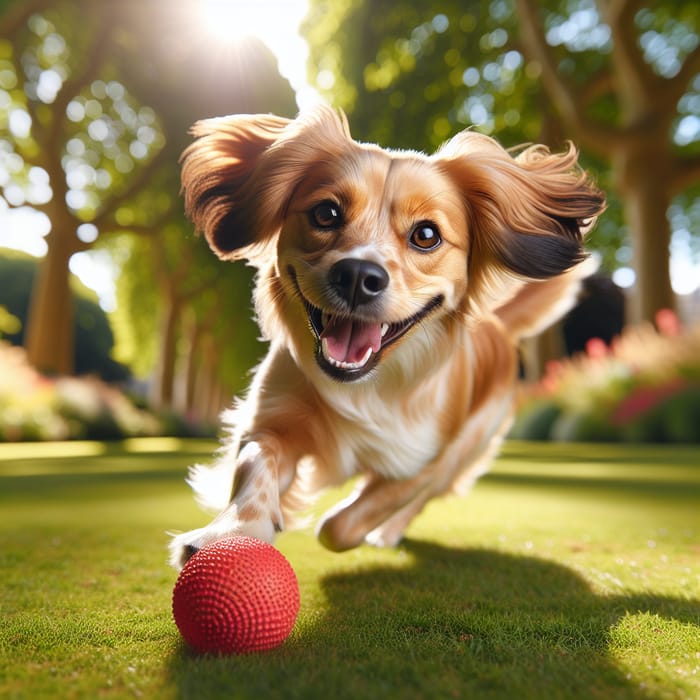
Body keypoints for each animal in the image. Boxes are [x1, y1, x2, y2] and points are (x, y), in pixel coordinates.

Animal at [168, 105, 600, 568]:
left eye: (426, 235)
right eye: (326, 213)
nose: (358, 275)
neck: (367, 385)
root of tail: (499, 327)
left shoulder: (426, 461)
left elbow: (342, 523)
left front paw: (352, 517)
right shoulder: (270, 422)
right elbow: (255, 467)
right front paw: (232, 532)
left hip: (469, 445)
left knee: (418, 502)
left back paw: (387, 532)